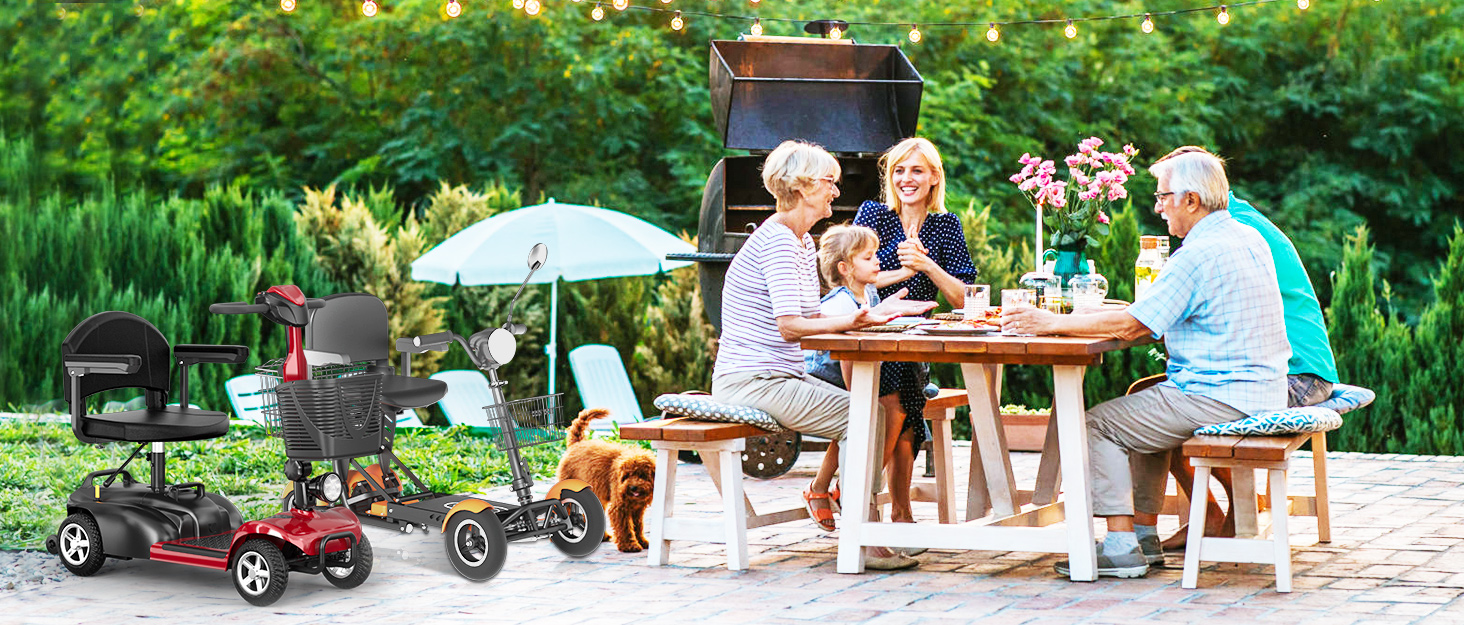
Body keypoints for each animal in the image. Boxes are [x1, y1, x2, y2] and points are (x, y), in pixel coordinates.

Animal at [556, 408, 656, 552]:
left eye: (642, 475)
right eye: (627, 476)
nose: (633, 488)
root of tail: (577, 443)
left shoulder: (637, 509)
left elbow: (638, 526)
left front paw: (642, 541)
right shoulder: (620, 507)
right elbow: (625, 528)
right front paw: (629, 545)